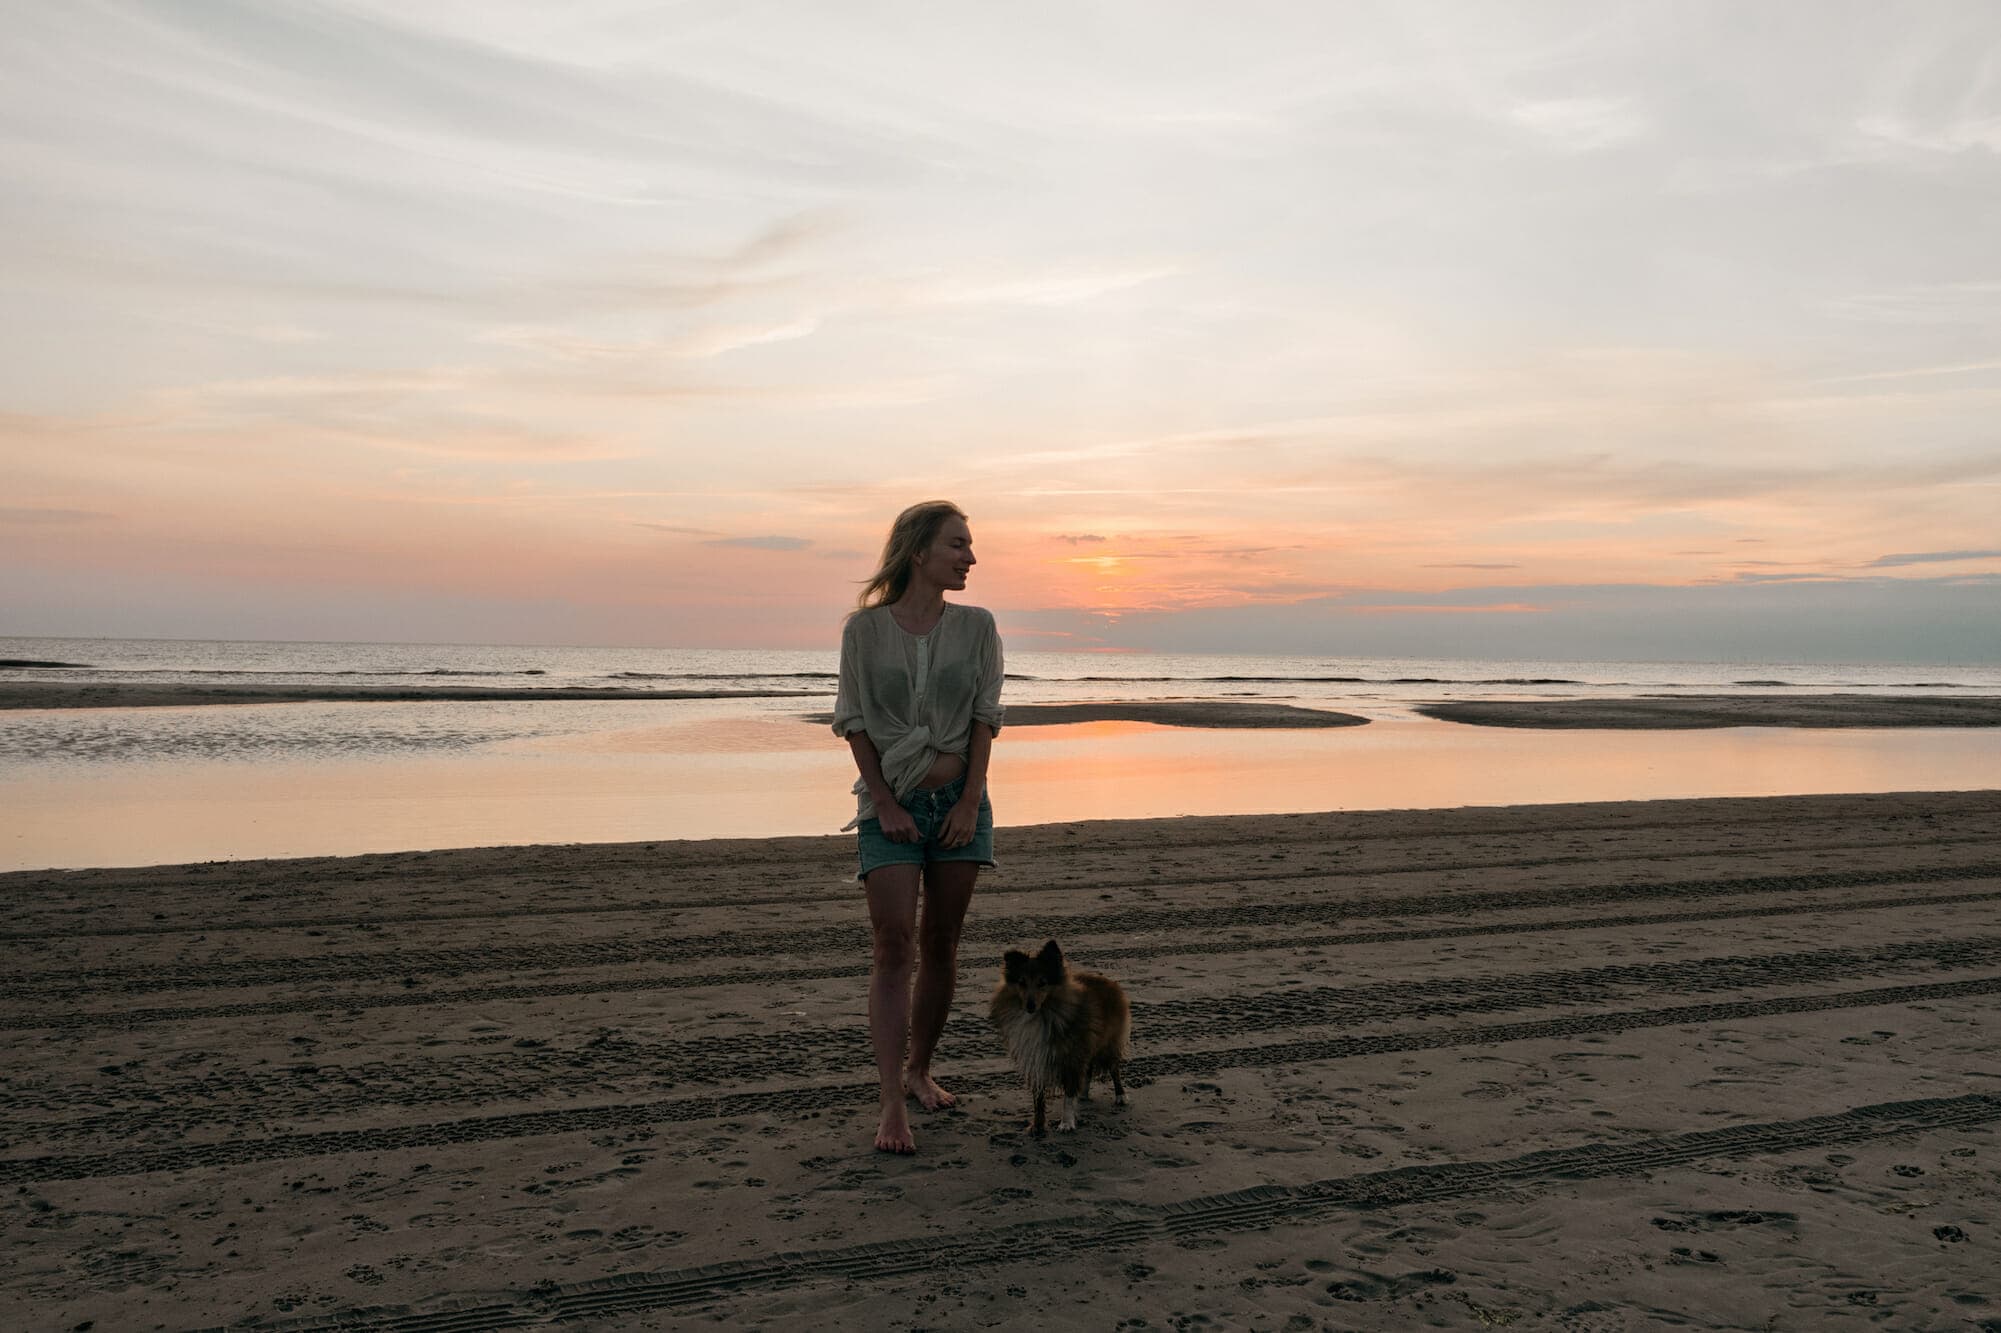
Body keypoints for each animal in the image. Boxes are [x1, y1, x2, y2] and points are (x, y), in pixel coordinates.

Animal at [992, 932, 1136, 1128]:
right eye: (1021, 982)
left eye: (1042, 982)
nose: (1030, 1006)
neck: (1043, 1015)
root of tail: (1109, 981)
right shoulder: (1037, 1059)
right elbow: (1038, 1098)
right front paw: (1037, 1126)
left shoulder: (1071, 1057)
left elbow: (1068, 1096)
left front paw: (1067, 1123)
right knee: (1088, 1070)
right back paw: (1083, 1094)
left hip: (1108, 1042)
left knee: (1114, 1069)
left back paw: (1120, 1095)